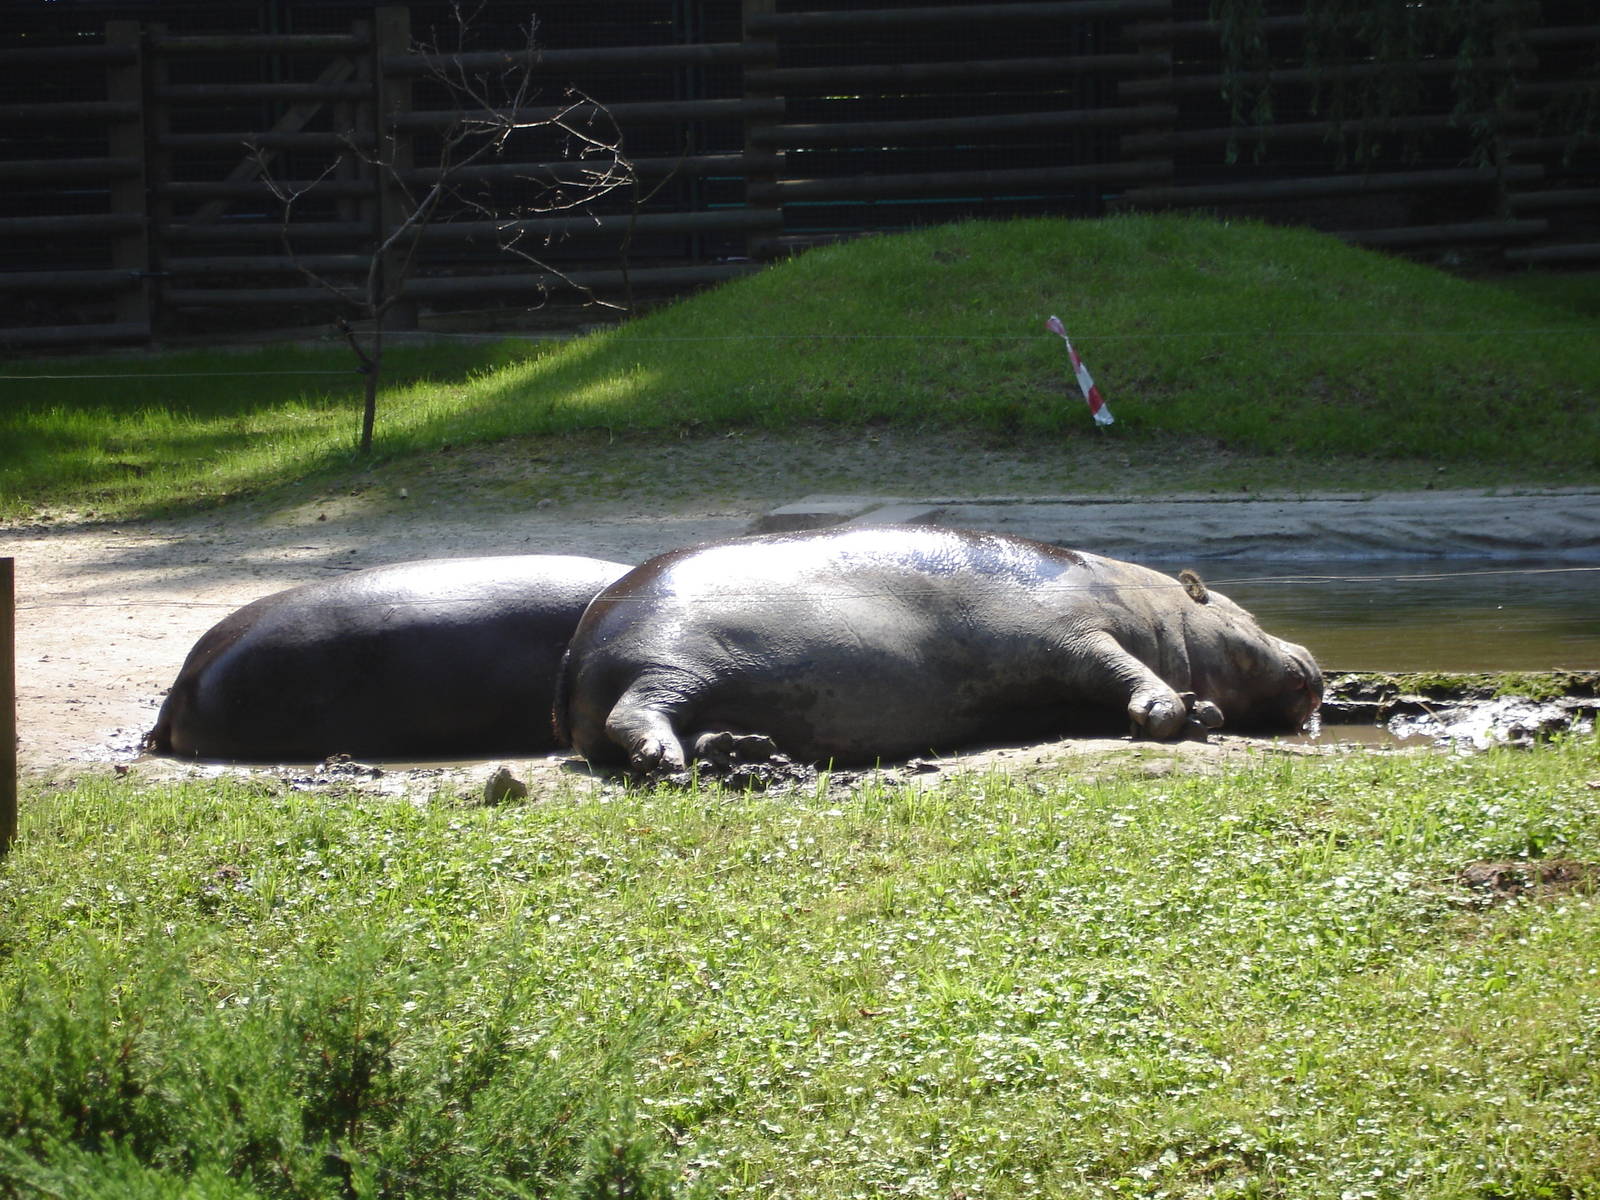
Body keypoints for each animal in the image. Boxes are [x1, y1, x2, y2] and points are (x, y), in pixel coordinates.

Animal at [555, 526, 1322, 772]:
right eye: (1246, 612)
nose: (1312, 659)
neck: (1152, 605)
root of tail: (574, 652)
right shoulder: (1071, 635)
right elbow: (1122, 667)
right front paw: (1171, 712)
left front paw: (1200, 711)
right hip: (675, 661)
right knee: (640, 711)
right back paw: (666, 760)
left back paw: (739, 750)